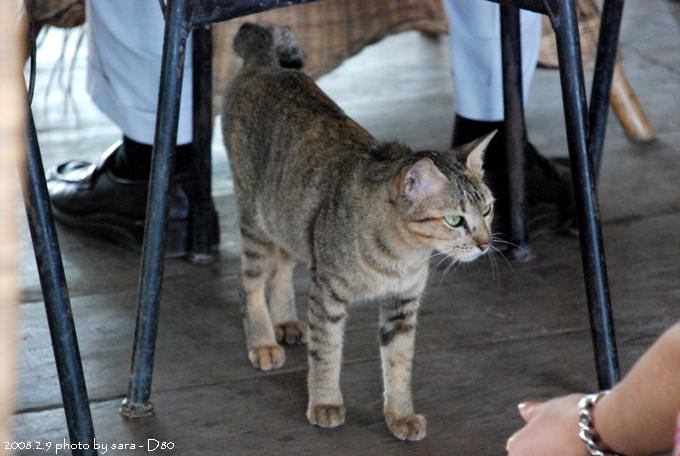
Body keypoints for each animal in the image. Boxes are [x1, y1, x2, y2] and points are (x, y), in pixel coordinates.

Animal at [223, 22, 494, 442]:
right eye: (454, 220)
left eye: (486, 210)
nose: (484, 244)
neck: (402, 256)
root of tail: (263, 63)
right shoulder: (327, 295)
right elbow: (327, 352)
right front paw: (325, 402)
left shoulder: (402, 305)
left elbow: (399, 364)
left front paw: (400, 414)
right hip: (256, 219)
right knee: (249, 280)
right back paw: (263, 341)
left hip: (290, 221)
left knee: (281, 267)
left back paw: (285, 322)